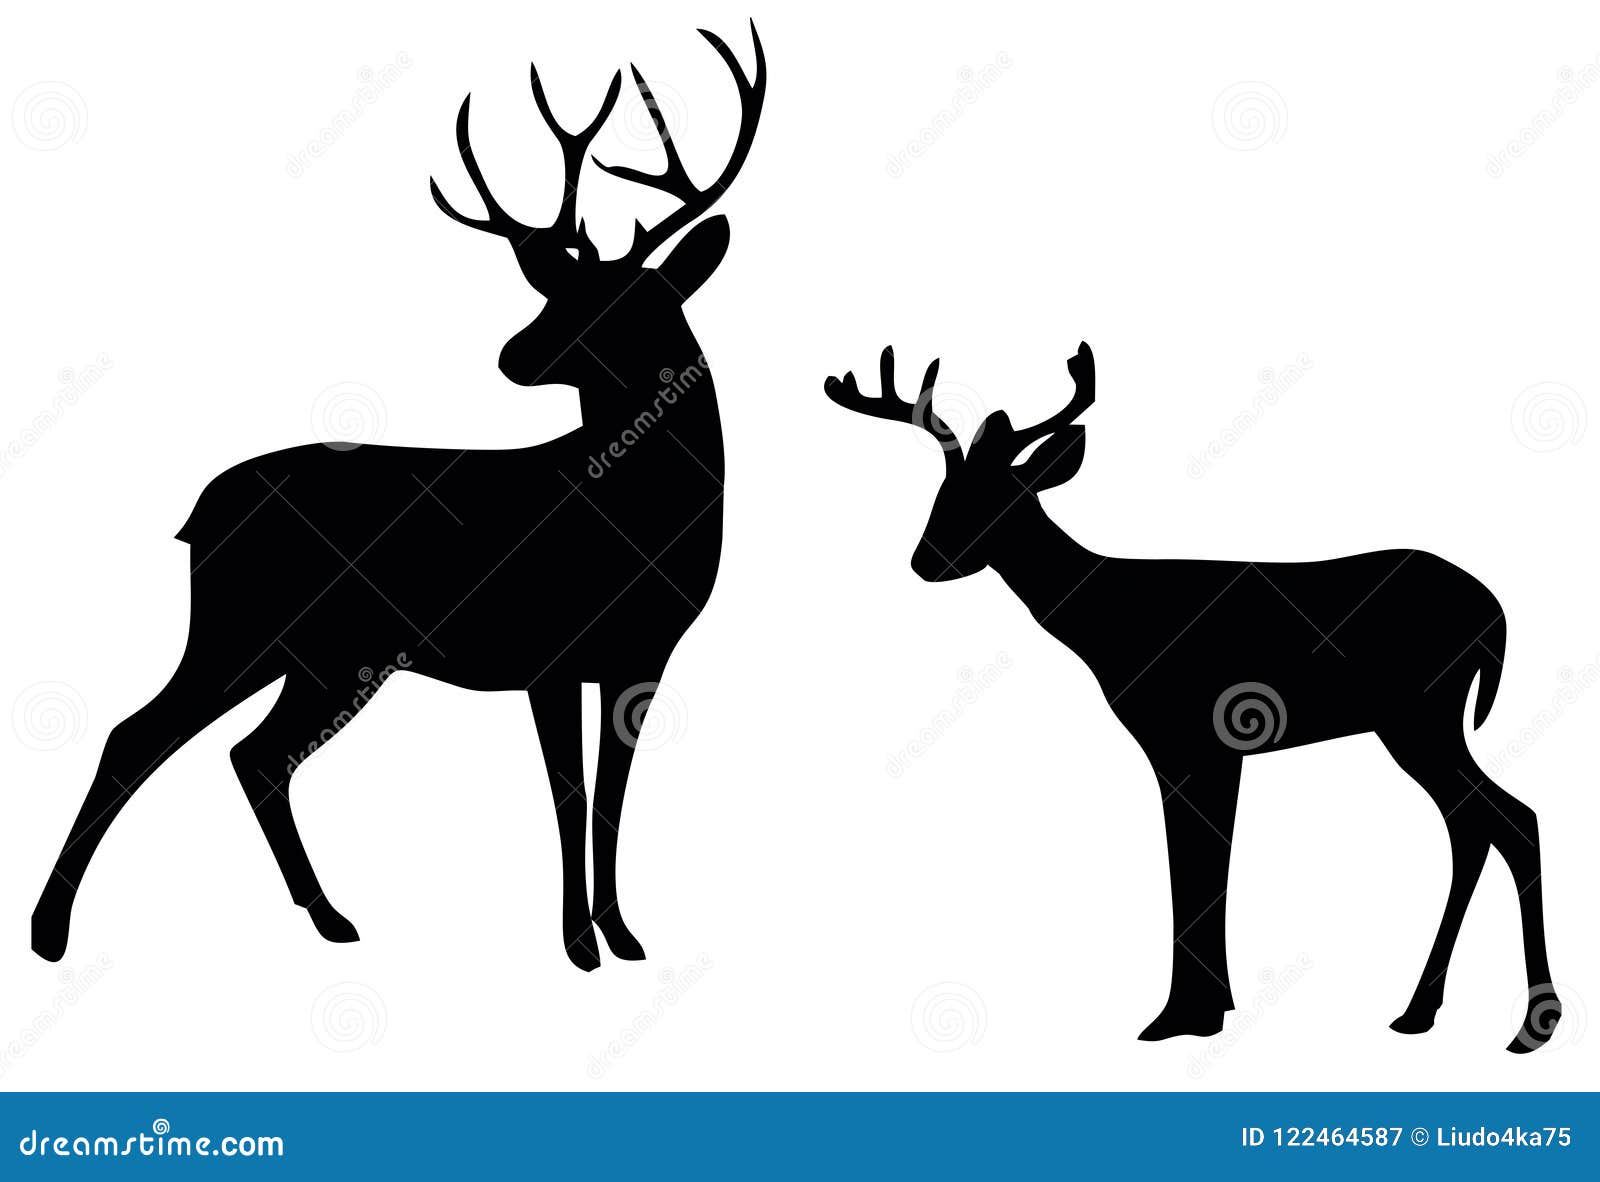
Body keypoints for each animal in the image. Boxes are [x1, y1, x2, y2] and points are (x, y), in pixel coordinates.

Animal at [32, 24, 765, 970]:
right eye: (557, 293)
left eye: (623, 303)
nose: (513, 356)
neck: (642, 517)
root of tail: (198, 514)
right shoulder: (547, 648)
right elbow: (567, 795)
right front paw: (578, 945)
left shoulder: (642, 655)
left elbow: (611, 796)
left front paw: (626, 936)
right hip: (245, 623)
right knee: (141, 734)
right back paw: (50, 932)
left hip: (327, 651)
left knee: (252, 754)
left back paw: (330, 916)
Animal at [825, 342, 1561, 1051]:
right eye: (944, 491)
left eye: (999, 495)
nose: (926, 560)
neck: (1111, 626)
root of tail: (1495, 613)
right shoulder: (1198, 750)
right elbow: (1204, 866)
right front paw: (1210, 1007)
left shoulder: (1196, 738)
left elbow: (1198, 868)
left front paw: (1184, 1015)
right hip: (1416, 723)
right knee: (1474, 826)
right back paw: (1420, 1012)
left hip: (1421, 714)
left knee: (1511, 819)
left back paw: (1531, 1025)